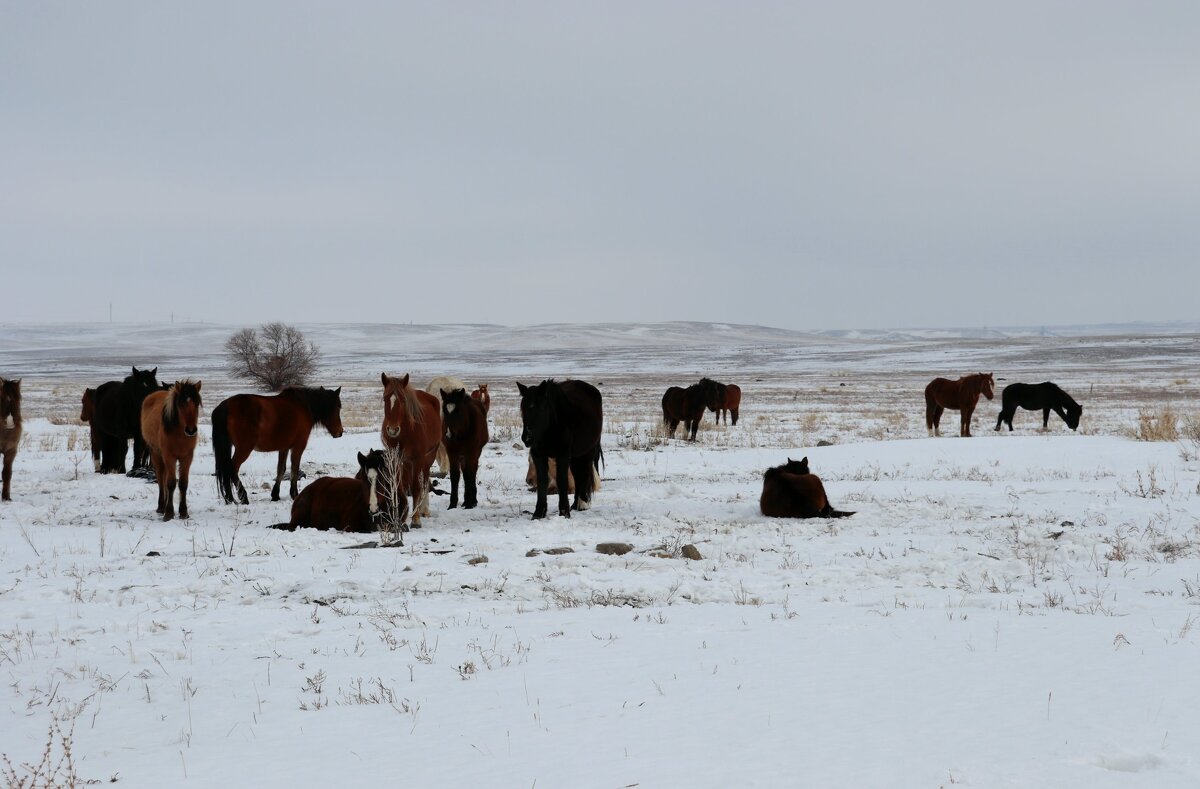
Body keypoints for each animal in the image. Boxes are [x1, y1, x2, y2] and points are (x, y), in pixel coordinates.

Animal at [139, 378, 202, 520]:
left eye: (196, 404)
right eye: (181, 404)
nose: (191, 430)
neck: (179, 434)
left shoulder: (187, 457)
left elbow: (183, 483)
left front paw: (183, 512)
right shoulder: (169, 456)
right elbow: (171, 483)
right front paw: (168, 512)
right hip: (156, 454)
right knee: (161, 479)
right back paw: (161, 506)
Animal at [210, 386, 343, 503]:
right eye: (338, 407)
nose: (340, 432)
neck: (304, 406)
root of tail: (226, 406)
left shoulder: (284, 448)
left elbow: (281, 469)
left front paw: (275, 495)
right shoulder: (298, 446)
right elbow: (294, 469)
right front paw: (294, 494)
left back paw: (229, 498)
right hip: (244, 448)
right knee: (232, 468)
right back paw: (243, 497)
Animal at [381, 371, 444, 525]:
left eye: (403, 400)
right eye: (385, 398)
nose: (392, 430)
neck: (405, 432)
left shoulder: (418, 458)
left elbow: (416, 487)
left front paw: (415, 520)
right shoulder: (395, 458)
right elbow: (398, 485)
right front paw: (398, 517)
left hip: (428, 457)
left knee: (424, 481)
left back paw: (423, 510)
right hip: (408, 462)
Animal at [518, 378, 604, 520]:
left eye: (540, 407)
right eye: (522, 408)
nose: (527, 438)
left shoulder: (562, 455)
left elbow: (562, 481)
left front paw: (564, 512)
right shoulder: (539, 455)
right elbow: (542, 481)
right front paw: (539, 513)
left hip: (587, 451)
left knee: (584, 474)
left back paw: (582, 504)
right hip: (575, 457)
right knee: (578, 475)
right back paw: (575, 505)